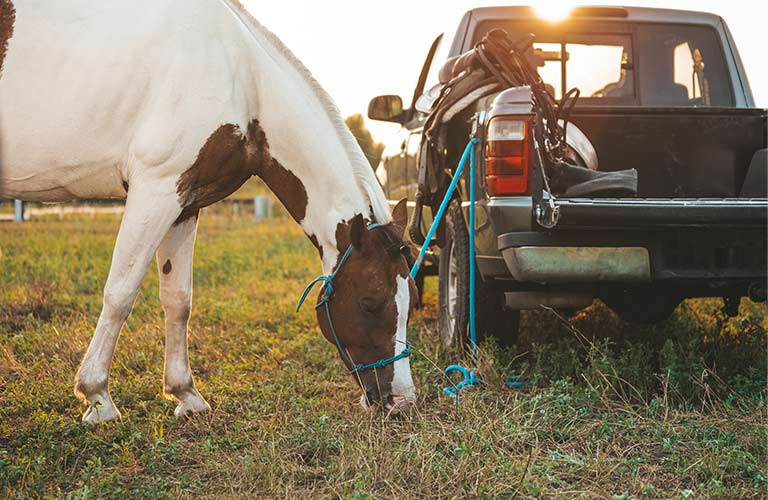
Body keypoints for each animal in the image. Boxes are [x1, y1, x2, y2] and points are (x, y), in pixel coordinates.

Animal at [0, 0, 420, 422]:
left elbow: (178, 300)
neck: (242, 79)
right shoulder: (154, 191)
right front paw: (97, 397)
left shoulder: (183, 203)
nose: (402, 402)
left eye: (412, 298)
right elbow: (120, 293)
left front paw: (185, 394)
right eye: (370, 302)